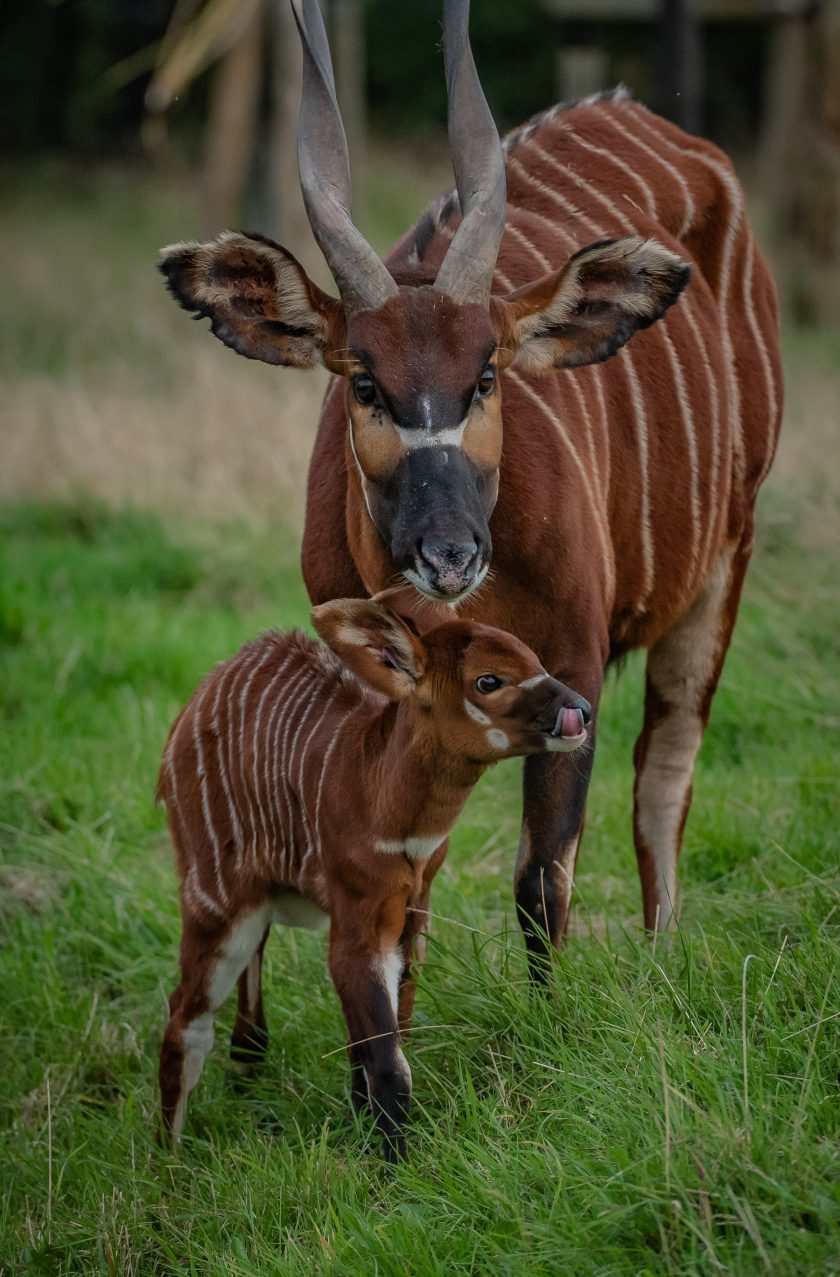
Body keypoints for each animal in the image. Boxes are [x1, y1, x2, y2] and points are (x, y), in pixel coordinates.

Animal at [157, 597, 589, 1159]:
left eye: (535, 658)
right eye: (489, 680)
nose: (580, 710)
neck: (374, 787)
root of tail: (186, 717)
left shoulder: (413, 913)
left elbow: (383, 1041)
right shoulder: (358, 922)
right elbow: (388, 1063)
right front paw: (393, 1168)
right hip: (216, 899)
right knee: (184, 1018)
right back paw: (166, 1162)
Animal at [160, 2, 781, 975]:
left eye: (486, 374)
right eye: (364, 383)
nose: (447, 553)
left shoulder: (573, 670)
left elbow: (542, 878)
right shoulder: (392, 690)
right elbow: (403, 882)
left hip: (728, 553)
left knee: (665, 767)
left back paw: (660, 953)